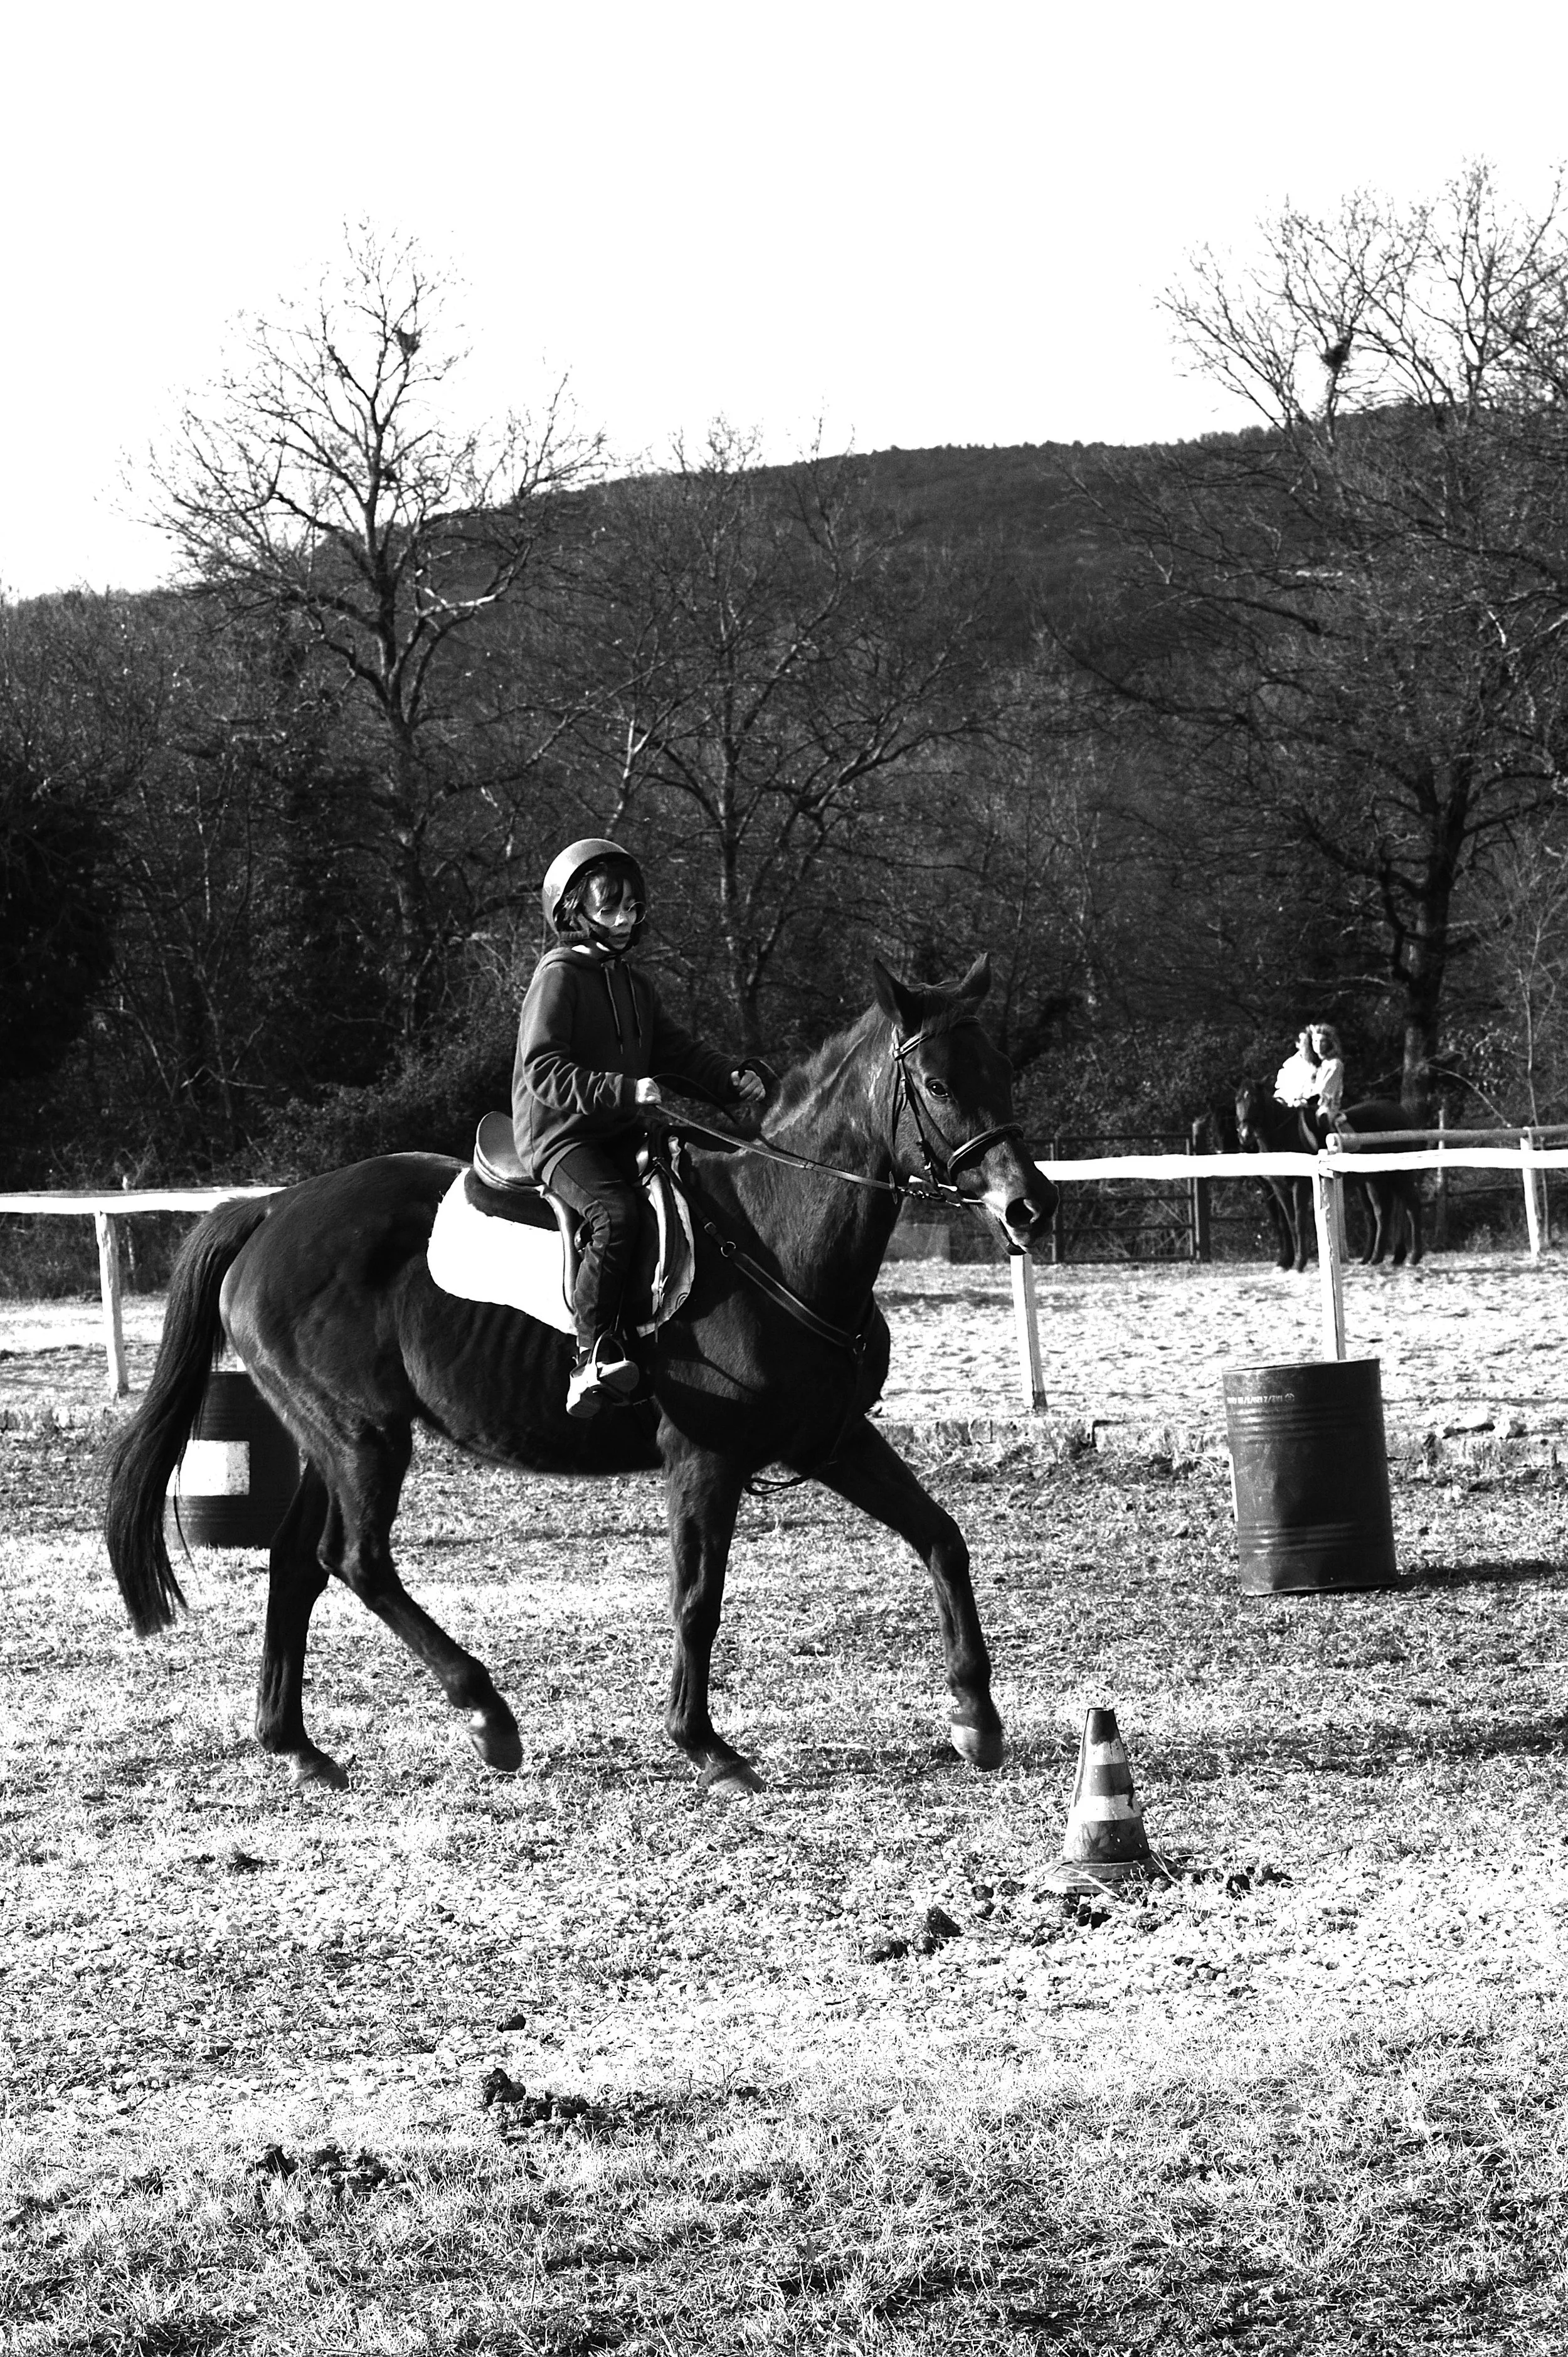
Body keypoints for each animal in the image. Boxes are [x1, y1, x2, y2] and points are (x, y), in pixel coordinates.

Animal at [104, 956, 1058, 1800]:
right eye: (936, 1084)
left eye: (1002, 1072)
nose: (1029, 1206)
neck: (774, 1234)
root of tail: (271, 1208)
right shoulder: (706, 1460)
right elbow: (697, 1599)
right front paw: (706, 1747)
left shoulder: (831, 1438)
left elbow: (940, 1537)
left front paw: (976, 1716)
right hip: (363, 1437)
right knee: (356, 1559)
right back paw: (486, 1713)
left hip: (327, 1441)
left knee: (297, 1563)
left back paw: (297, 1745)